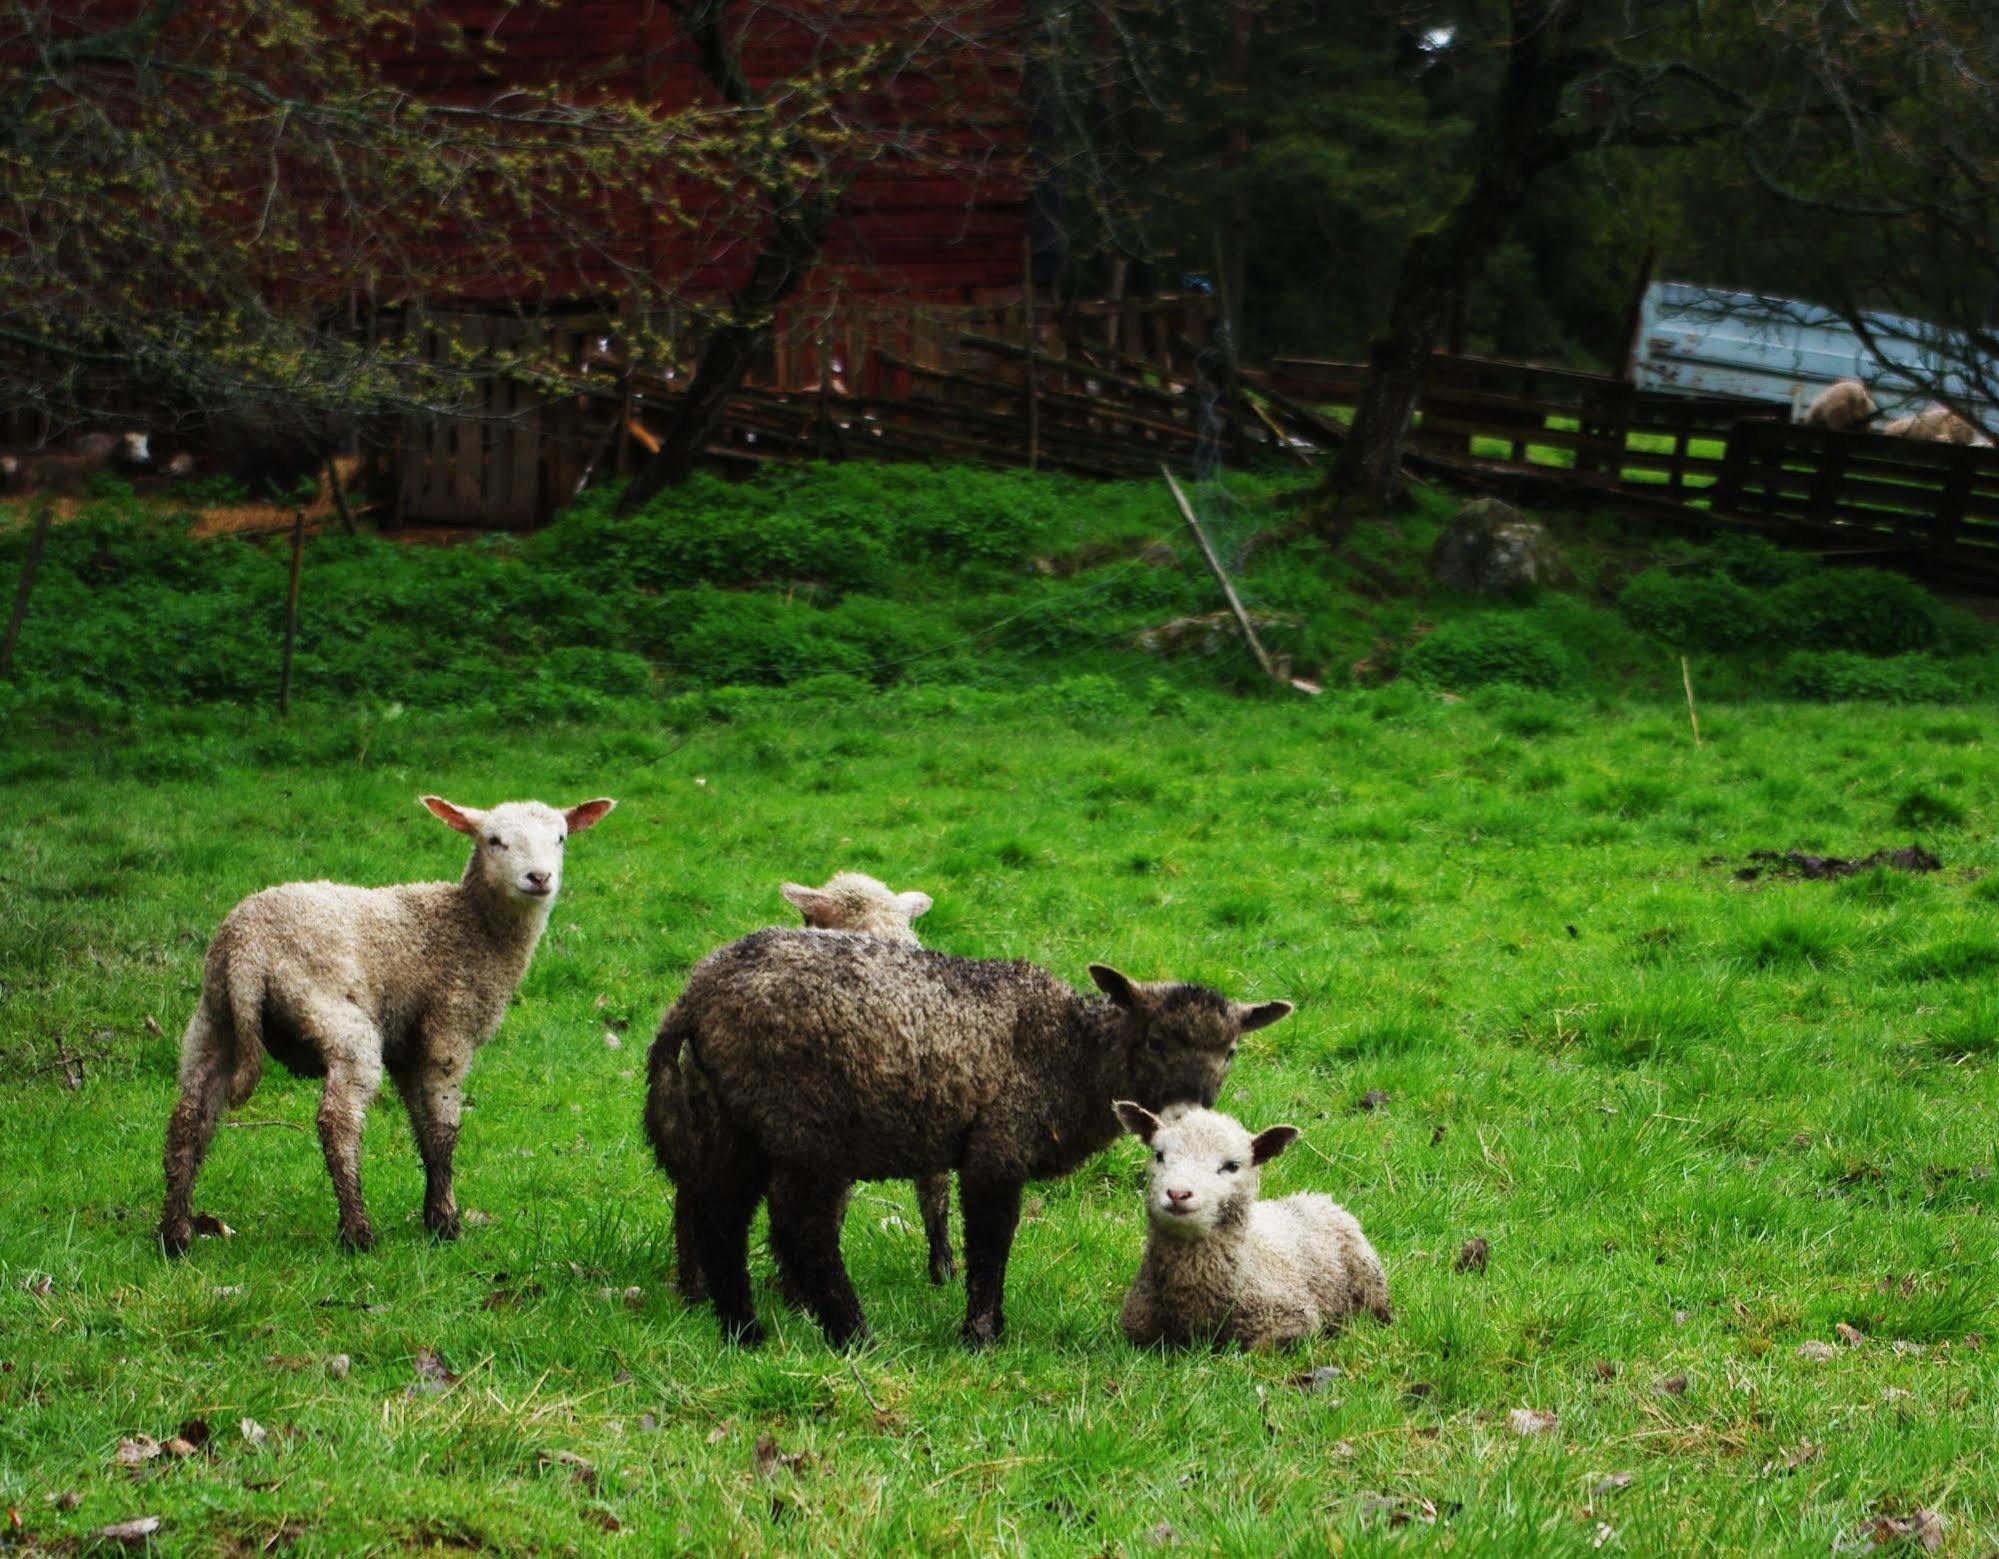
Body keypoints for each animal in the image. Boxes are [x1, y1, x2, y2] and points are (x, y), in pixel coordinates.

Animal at [159, 791, 611, 1255]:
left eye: (560, 838)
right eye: (494, 840)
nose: (539, 878)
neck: (471, 928)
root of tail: (246, 947)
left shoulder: (408, 1048)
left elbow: (423, 1126)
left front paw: (435, 1215)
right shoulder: (448, 1029)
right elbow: (445, 1127)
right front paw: (447, 1223)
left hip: (213, 1019)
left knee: (189, 1118)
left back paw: (175, 1233)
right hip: (335, 1017)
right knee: (337, 1120)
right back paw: (358, 1232)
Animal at [1111, 1103, 1391, 1343]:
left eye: (1232, 1166)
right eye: (1159, 1155)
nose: (1178, 1193)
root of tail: (1317, 1197)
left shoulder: (1292, 1320)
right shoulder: (1135, 1324)